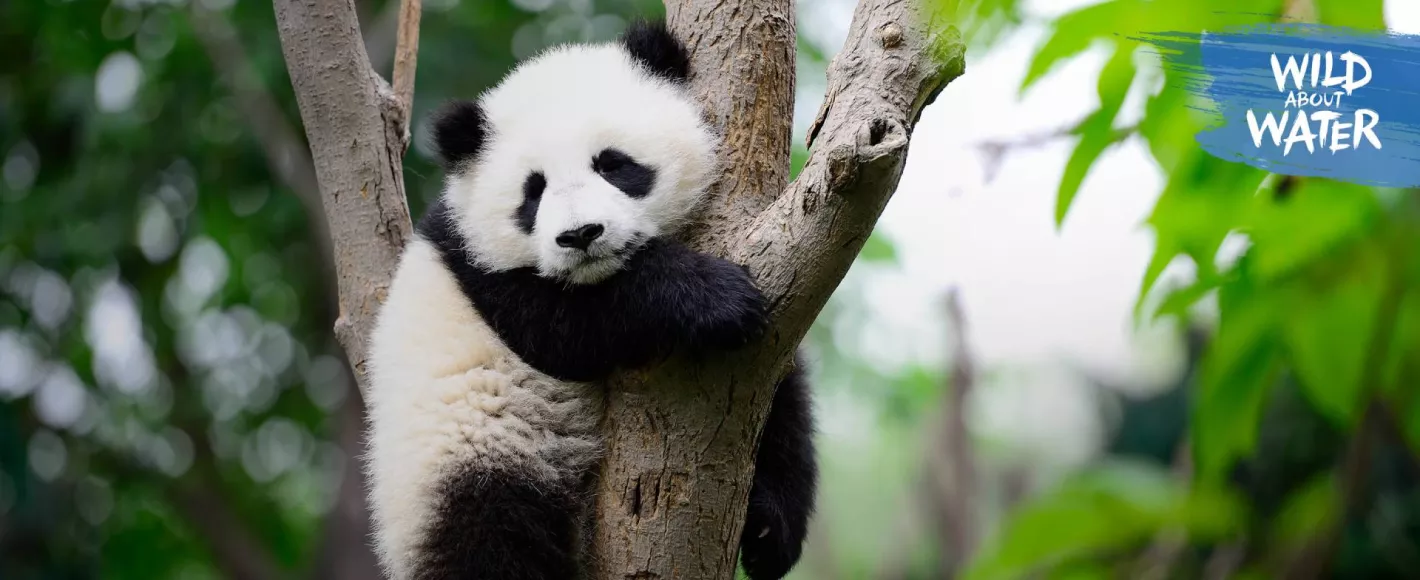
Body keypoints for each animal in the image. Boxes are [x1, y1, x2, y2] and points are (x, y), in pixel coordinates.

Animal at [364, 20, 818, 580]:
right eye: (533, 191)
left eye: (613, 164)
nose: (580, 235)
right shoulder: (482, 272)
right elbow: (569, 330)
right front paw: (716, 299)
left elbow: (781, 394)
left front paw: (769, 530)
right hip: (468, 458)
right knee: (492, 540)